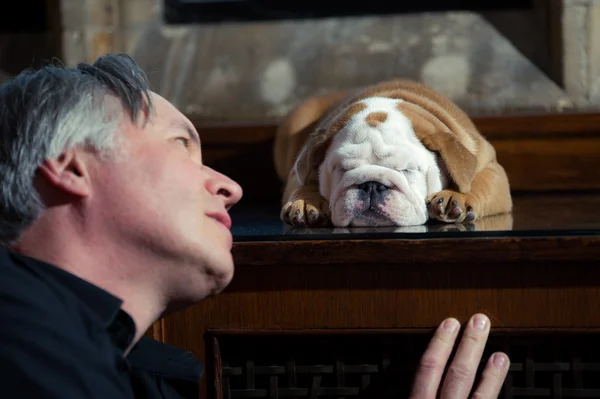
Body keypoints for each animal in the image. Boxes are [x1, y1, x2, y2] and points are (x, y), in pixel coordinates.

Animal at [274, 79, 512, 228]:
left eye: (408, 170)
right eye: (342, 169)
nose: (371, 185)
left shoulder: (491, 167)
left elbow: (478, 182)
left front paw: (457, 197)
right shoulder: (299, 167)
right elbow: (302, 184)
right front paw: (306, 203)